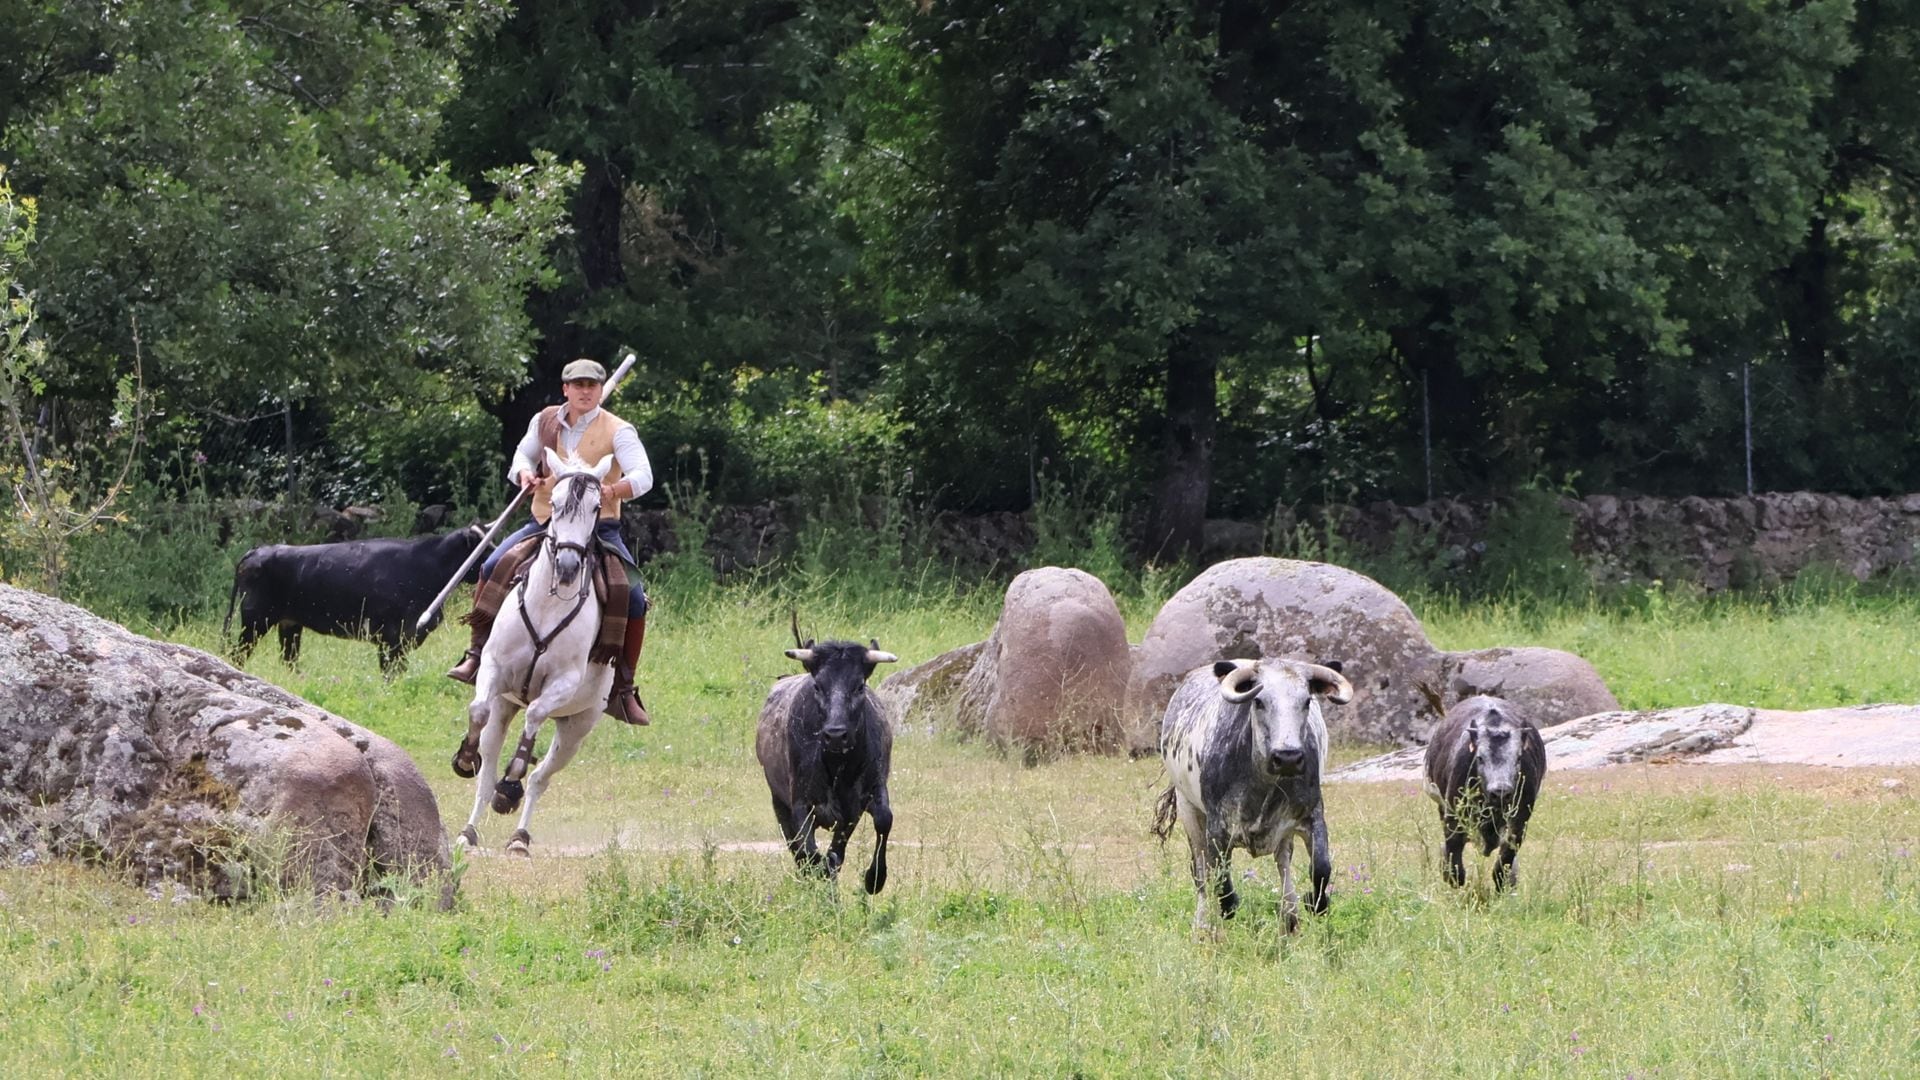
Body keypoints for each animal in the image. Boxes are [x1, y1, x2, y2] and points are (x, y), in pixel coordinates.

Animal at [222, 522, 487, 672]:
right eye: (485, 548)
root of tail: (258, 550)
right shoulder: (392, 636)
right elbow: (391, 672)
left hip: (289, 624)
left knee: (289, 659)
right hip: (256, 620)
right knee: (238, 654)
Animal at [449, 445, 614, 857]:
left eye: (596, 507)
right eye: (553, 503)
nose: (568, 567)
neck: (548, 605)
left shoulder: (563, 683)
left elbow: (535, 715)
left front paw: (511, 785)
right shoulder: (493, 669)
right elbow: (477, 711)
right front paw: (465, 756)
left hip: (576, 729)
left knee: (540, 777)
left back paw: (519, 835)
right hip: (505, 707)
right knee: (488, 769)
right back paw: (468, 831)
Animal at [748, 630, 898, 891]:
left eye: (859, 686)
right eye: (817, 686)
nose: (836, 734)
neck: (838, 766)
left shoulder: (862, 800)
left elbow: (883, 820)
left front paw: (874, 879)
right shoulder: (801, 804)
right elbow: (810, 853)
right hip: (780, 804)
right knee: (799, 852)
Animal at [1152, 653, 1351, 930]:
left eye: (1307, 701)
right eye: (1258, 701)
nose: (1288, 757)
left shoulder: (1313, 816)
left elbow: (1321, 870)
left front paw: (1313, 902)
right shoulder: (1217, 829)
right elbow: (1222, 887)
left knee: (1283, 864)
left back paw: (1290, 920)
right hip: (1188, 810)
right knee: (1201, 875)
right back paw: (1202, 926)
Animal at [1420, 691, 1551, 887]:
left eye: (1518, 758)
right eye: (1480, 758)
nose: (1500, 791)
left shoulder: (1520, 818)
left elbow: (1505, 861)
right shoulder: (1453, 813)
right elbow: (1454, 865)